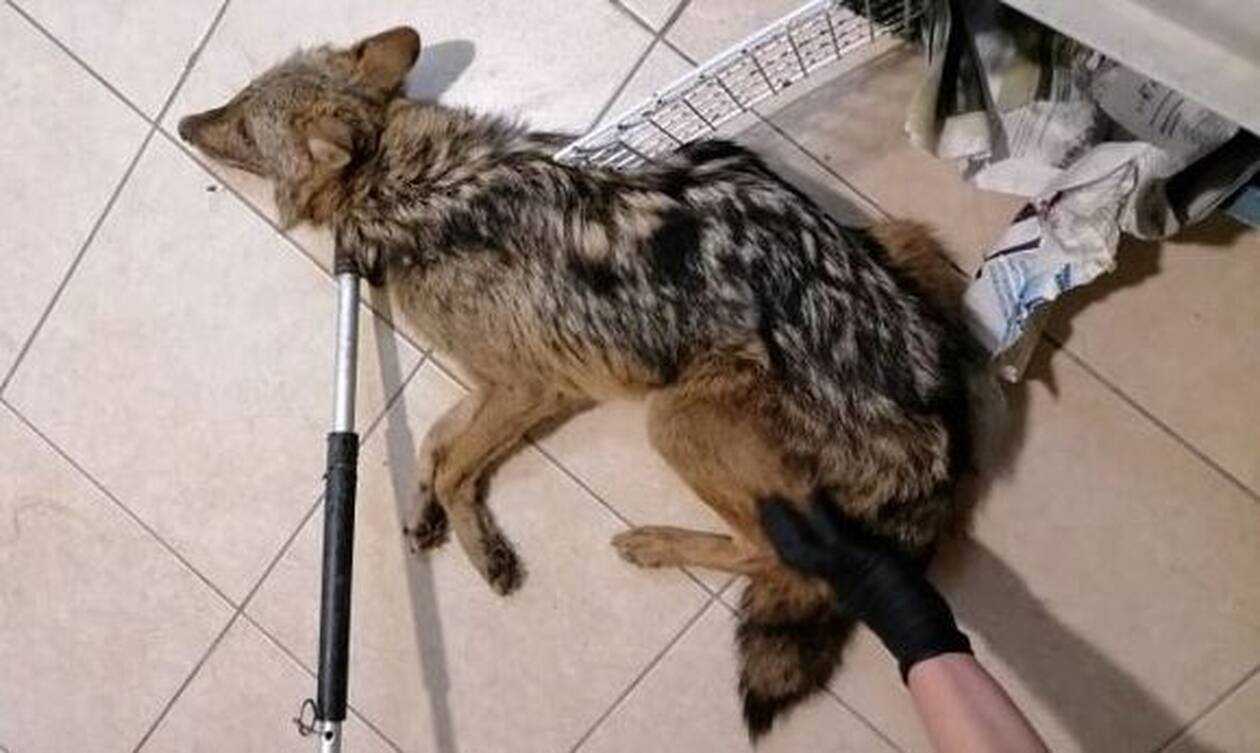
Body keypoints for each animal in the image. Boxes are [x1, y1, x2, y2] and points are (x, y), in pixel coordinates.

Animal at [179, 26, 988, 739]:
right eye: (240, 100)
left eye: (242, 121)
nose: (185, 120)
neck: (406, 180)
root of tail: (941, 440)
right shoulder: (509, 384)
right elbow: (440, 440)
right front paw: (428, 510)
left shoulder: (533, 386)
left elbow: (457, 459)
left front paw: (478, 545)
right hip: (897, 239)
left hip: (675, 421)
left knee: (774, 553)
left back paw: (654, 544)